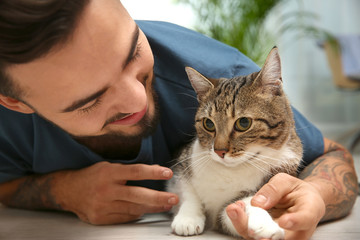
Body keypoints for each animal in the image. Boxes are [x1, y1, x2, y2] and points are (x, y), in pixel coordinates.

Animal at [167, 47, 302, 240]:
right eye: (208, 124)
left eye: (243, 123)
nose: (219, 151)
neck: (230, 171)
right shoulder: (184, 161)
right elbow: (187, 191)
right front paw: (187, 218)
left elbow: (240, 206)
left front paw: (264, 224)